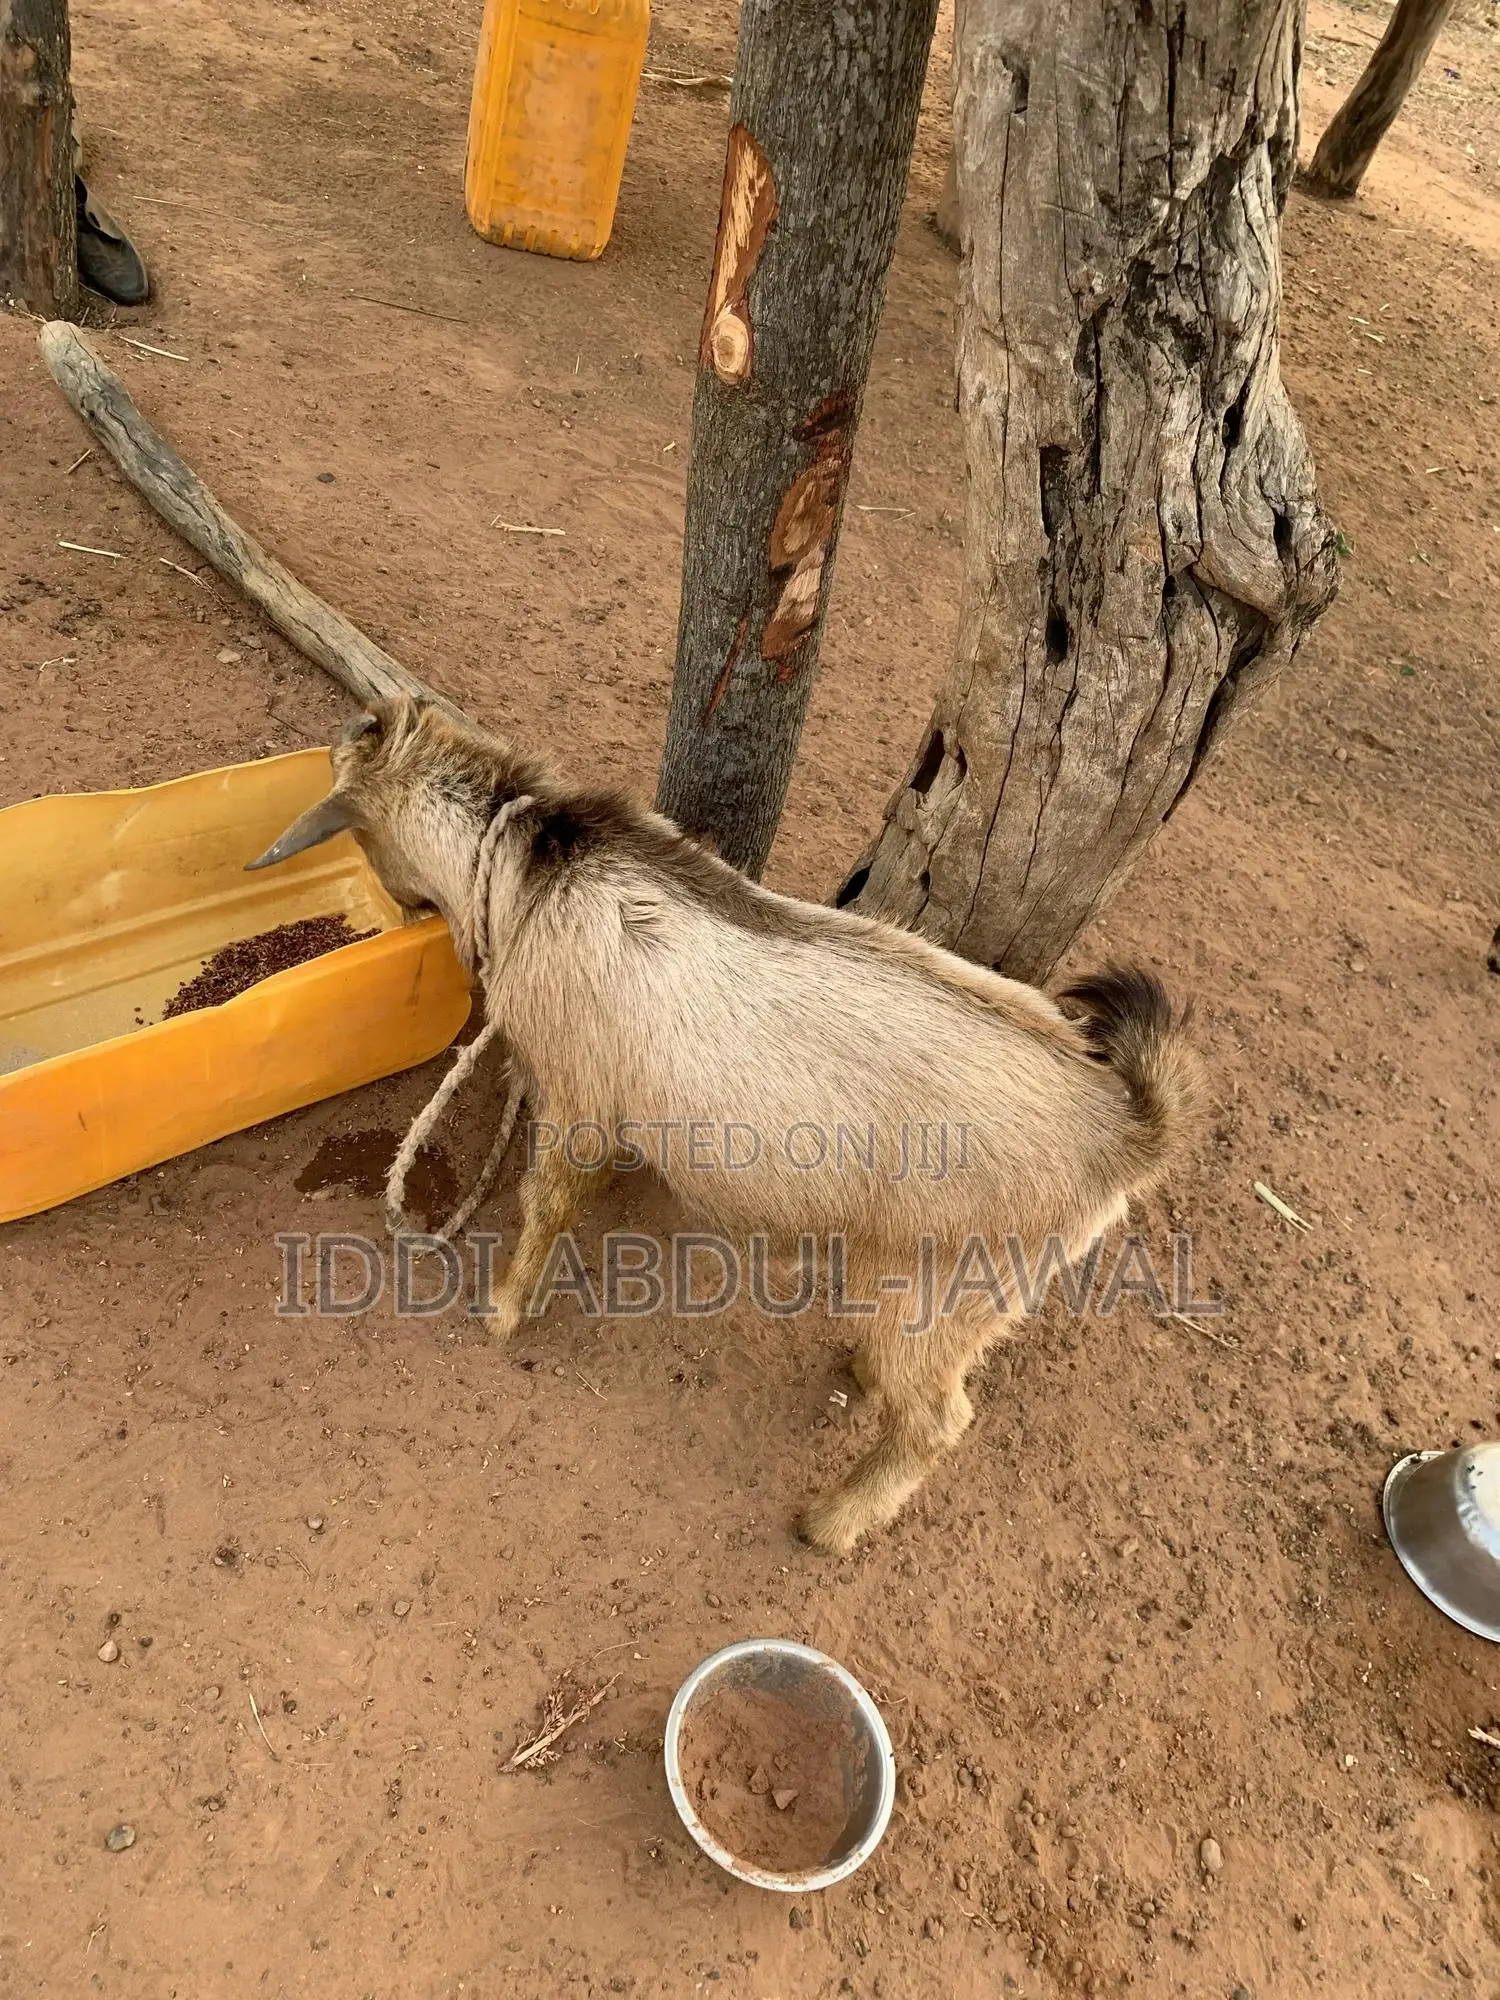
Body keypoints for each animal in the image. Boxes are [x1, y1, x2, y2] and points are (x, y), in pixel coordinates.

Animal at [249, 696, 1202, 1552]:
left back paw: (832, 1523)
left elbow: (547, 1201)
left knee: (938, 1421)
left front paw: (503, 1311)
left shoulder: (580, 1096)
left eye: (357, 829)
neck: (531, 865)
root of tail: (1127, 1131)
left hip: (955, 1281)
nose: (405, 904)